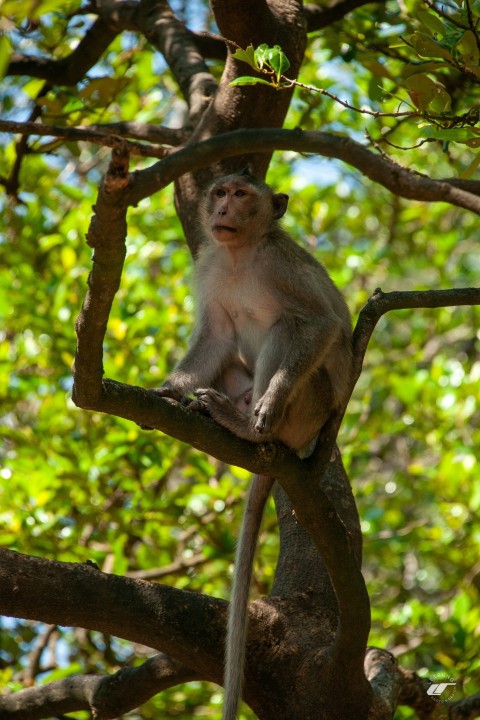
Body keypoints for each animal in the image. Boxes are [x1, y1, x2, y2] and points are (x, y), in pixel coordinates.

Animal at [156, 170, 353, 720]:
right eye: (219, 193)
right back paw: (217, 411)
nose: (224, 208)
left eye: (242, 194)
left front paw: (271, 399)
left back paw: (251, 425)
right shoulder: (209, 266)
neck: (241, 254)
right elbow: (216, 338)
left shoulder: (280, 264)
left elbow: (321, 323)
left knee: (290, 328)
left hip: (309, 408)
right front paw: (169, 389)